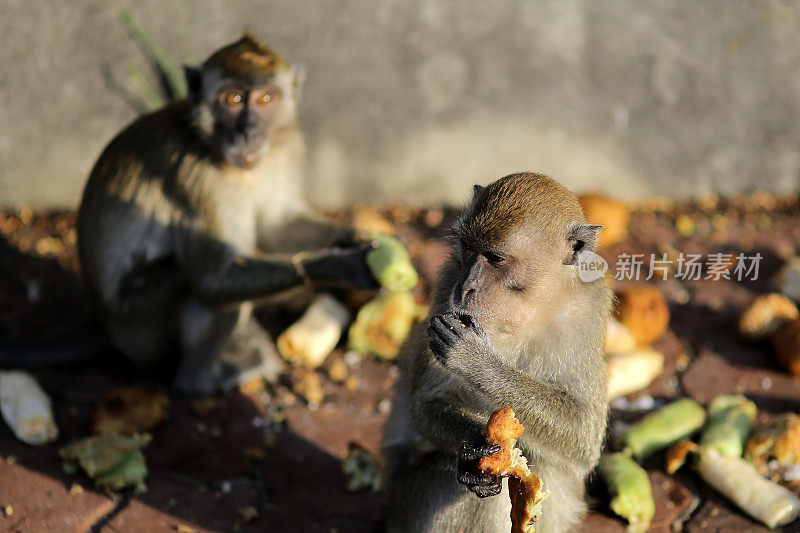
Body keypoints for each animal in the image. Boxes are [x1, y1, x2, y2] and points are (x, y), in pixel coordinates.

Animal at [78, 33, 372, 390]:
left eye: (265, 99)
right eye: (233, 99)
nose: (248, 132)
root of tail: (106, 327)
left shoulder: (283, 151)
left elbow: (277, 226)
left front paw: (348, 237)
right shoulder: (198, 177)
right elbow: (212, 279)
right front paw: (339, 265)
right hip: (139, 324)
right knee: (191, 282)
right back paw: (201, 379)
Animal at [382, 172, 612, 528]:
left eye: (495, 258)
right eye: (467, 248)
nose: (466, 288)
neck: (525, 310)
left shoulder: (586, 312)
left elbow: (582, 433)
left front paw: (478, 362)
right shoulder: (446, 287)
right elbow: (426, 405)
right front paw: (475, 448)